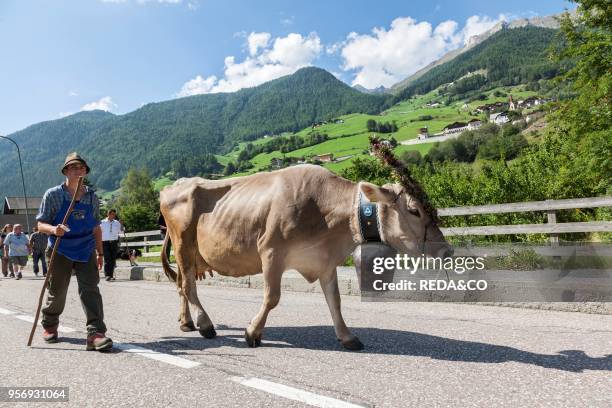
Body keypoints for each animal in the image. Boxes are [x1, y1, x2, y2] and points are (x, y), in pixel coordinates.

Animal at [160, 164, 452, 350]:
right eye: (414, 210)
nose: (446, 250)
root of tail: (174, 185)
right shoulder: (271, 251)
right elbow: (272, 297)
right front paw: (252, 332)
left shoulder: (324, 261)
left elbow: (335, 302)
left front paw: (347, 337)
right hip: (183, 244)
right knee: (188, 285)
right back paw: (205, 325)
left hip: (189, 252)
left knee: (181, 285)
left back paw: (187, 323)